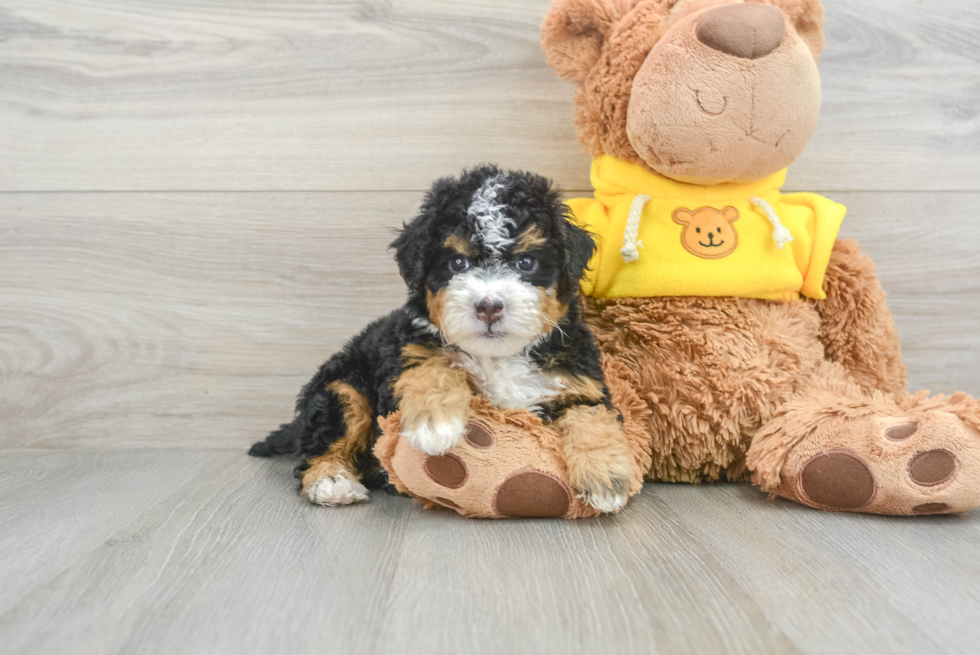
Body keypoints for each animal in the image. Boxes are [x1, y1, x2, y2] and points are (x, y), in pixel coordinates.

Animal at [253, 167, 632, 516]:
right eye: (457, 262)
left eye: (526, 262)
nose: (489, 306)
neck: (497, 357)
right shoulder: (408, 348)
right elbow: (432, 365)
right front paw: (434, 425)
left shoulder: (580, 383)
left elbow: (591, 418)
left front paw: (607, 479)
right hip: (341, 385)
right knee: (328, 436)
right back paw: (331, 482)